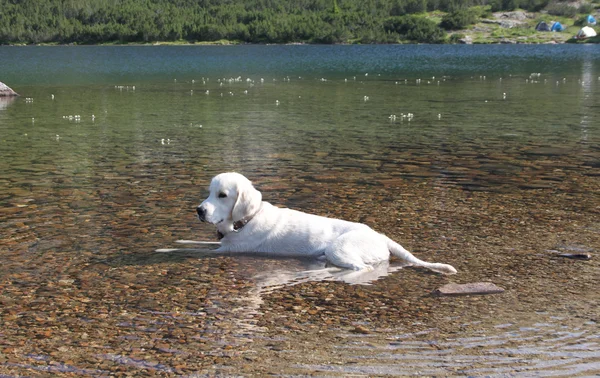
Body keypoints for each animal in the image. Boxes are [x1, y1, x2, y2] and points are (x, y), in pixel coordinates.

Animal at [195, 172, 458, 274]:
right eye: (209, 192)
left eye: (222, 195)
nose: (199, 210)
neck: (247, 220)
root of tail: (381, 236)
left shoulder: (229, 249)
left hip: (339, 247)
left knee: (361, 268)